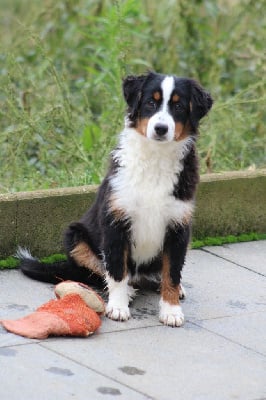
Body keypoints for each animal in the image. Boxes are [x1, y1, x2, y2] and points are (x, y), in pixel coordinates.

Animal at [18, 72, 213, 328]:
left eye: (179, 106)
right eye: (150, 102)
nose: (161, 128)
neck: (156, 158)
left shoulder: (178, 226)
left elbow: (172, 272)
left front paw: (171, 310)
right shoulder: (116, 221)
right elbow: (117, 269)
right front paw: (118, 307)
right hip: (76, 236)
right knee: (103, 271)